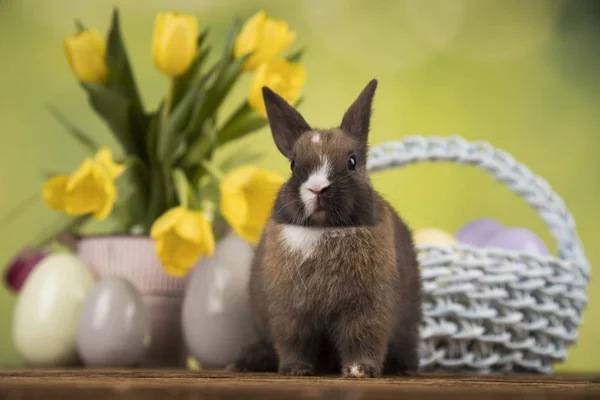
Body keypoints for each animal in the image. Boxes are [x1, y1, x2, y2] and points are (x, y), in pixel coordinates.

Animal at [231, 79, 422, 378]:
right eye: (293, 164)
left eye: (352, 162)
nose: (318, 188)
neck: (324, 231)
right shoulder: (290, 314)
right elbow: (293, 341)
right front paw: (295, 370)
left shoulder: (368, 311)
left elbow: (363, 339)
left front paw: (359, 371)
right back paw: (246, 362)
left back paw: (405, 368)